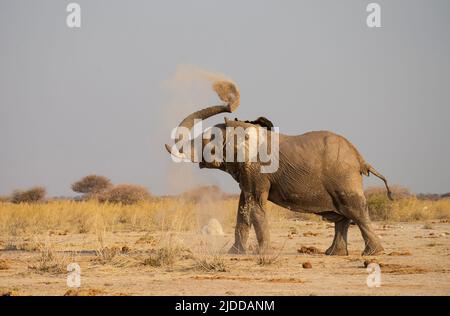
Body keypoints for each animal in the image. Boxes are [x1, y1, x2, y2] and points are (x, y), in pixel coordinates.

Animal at [164, 97, 390, 256]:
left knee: (355, 211)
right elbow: (243, 207)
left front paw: (262, 254)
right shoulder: (247, 173)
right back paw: (334, 254)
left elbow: (255, 206)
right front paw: (234, 254)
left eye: (208, 139)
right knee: (343, 217)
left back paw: (372, 253)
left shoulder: (256, 169)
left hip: (344, 178)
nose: (230, 104)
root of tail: (360, 158)